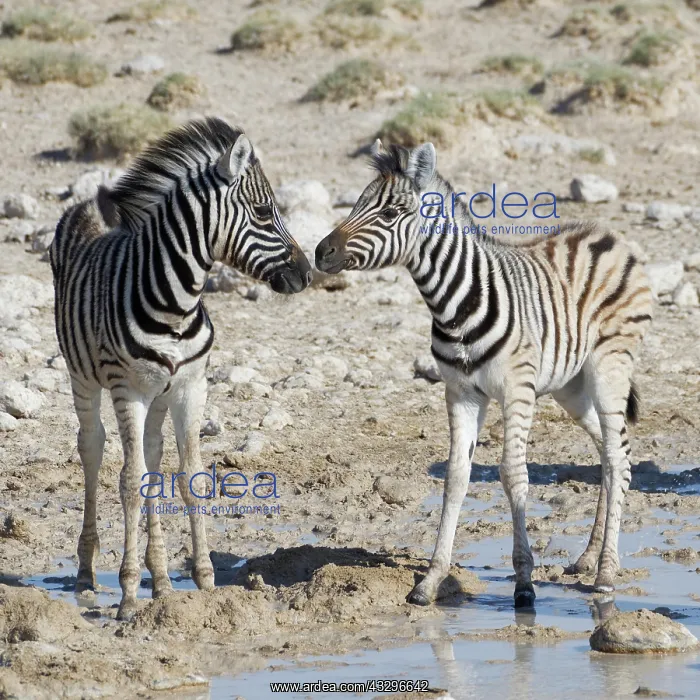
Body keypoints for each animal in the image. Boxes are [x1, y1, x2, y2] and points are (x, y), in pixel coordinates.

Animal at [50, 117, 312, 620]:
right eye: (264, 212)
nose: (307, 274)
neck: (175, 303)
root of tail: (90, 201)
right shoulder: (127, 389)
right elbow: (130, 483)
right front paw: (128, 596)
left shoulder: (191, 386)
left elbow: (190, 479)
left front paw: (204, 582)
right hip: (82, 378)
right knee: (92, 448)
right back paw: (89, 573)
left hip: (160, 394)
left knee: (152, 457)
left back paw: (162, 580)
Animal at [315, 140, 652, 608]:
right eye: (358, 203)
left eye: (390, 212)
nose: (320, 252)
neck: (453, 305)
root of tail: (609, 235)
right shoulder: (461, 392)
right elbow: (456, 477)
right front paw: (431, 580)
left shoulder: (517, 388)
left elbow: (513, 475)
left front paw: (524, 583)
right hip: (571, 386)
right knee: (606, 452)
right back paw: (587, 558)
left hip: (610, 366)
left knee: (618, 457)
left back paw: (605, 573)